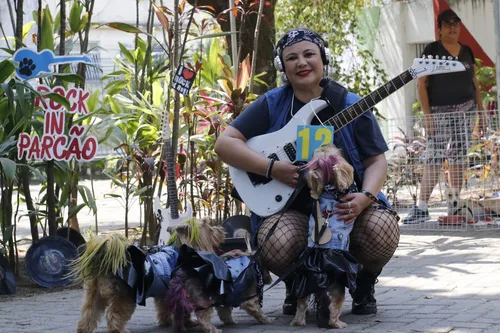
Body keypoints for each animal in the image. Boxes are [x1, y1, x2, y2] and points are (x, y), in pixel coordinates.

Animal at [70, 215, 221, 332]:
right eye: (209, 227)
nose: (219, 229)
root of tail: (107, 261)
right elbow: (185, 309)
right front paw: (187, 322)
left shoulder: (164, 292)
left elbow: (163, 307)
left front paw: (166, 322)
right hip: (125, 296)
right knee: (113, 316)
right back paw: (118, 330)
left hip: (94, 294)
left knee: (88, 314)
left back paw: (83, 329)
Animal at [290, 144, 360, 328]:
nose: (325, 143)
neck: (330, 190)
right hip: (338, 290)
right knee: (334, 309)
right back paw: (338, 324)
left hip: (303, 286)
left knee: (301, 304)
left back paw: (298, 321)